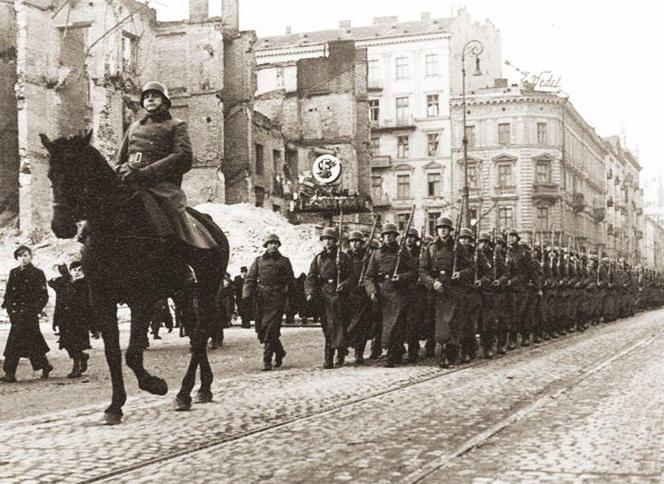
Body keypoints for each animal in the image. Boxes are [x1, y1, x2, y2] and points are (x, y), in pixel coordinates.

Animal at [41, 131, 230, 424]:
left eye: (79, 173)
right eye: (52, 174)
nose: (60, 226)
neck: (115, 226)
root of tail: (211, 225)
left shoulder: (144, 298)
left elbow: (131, 353)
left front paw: (156, 385)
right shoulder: (102, 299)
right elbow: (113, 353)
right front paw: (114, 406)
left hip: (208, 289)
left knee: (201, 333)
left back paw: (184, 393)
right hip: (183, 294)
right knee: (195, 331)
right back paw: (203, 388)